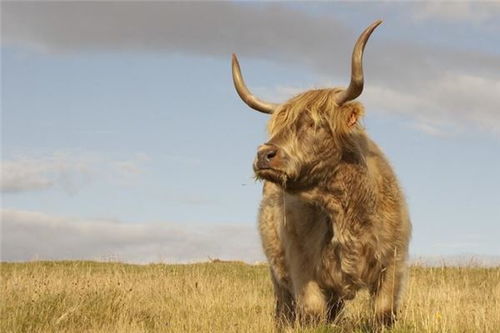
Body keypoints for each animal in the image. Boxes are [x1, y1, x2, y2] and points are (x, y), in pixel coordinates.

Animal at [230, 19, 410, 326]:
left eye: (315, 123)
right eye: (277, 127)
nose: (264, 154)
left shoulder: (392, 263)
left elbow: (383, 313)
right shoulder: (302, 265)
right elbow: (312, 312)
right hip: (277, 272)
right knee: (285, 305)